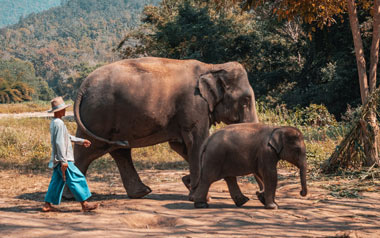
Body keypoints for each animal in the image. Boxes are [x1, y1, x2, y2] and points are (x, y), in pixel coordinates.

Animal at [73, 56, 260, 198]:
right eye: (245, 101)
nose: (259, 195)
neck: (212, 67)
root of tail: (83, 87)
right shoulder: (194, 105)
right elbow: (197, 142)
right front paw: (198, 193)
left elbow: (181, 145)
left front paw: (189, 184)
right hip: (99, 115)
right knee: (87, 150)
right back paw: (74, 197)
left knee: (119, 151)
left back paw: (141, 193)